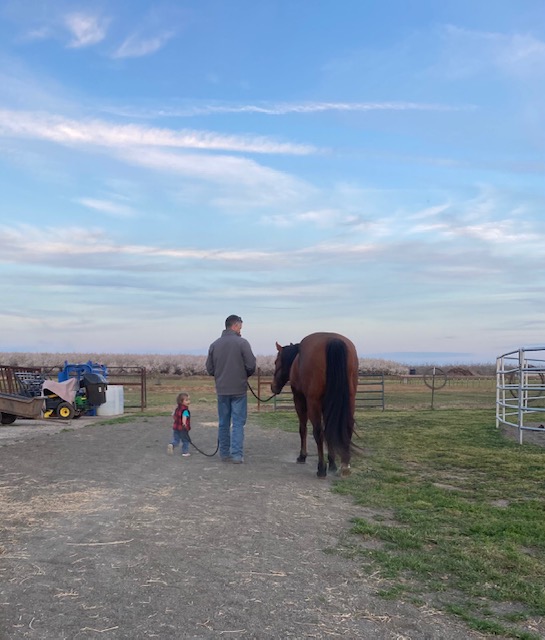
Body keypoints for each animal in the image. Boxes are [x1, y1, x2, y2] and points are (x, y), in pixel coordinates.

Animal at [270, 332, 356, 478]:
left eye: (276, 362)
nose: (273, 386)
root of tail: (333, 341)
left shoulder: (300, 400)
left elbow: (303, 429)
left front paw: (302, 456)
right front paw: (332, 463)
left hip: (313, 403)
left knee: (318, 432)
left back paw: (321, 468)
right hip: (350, 400)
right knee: (346, 427)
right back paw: (344, 466)